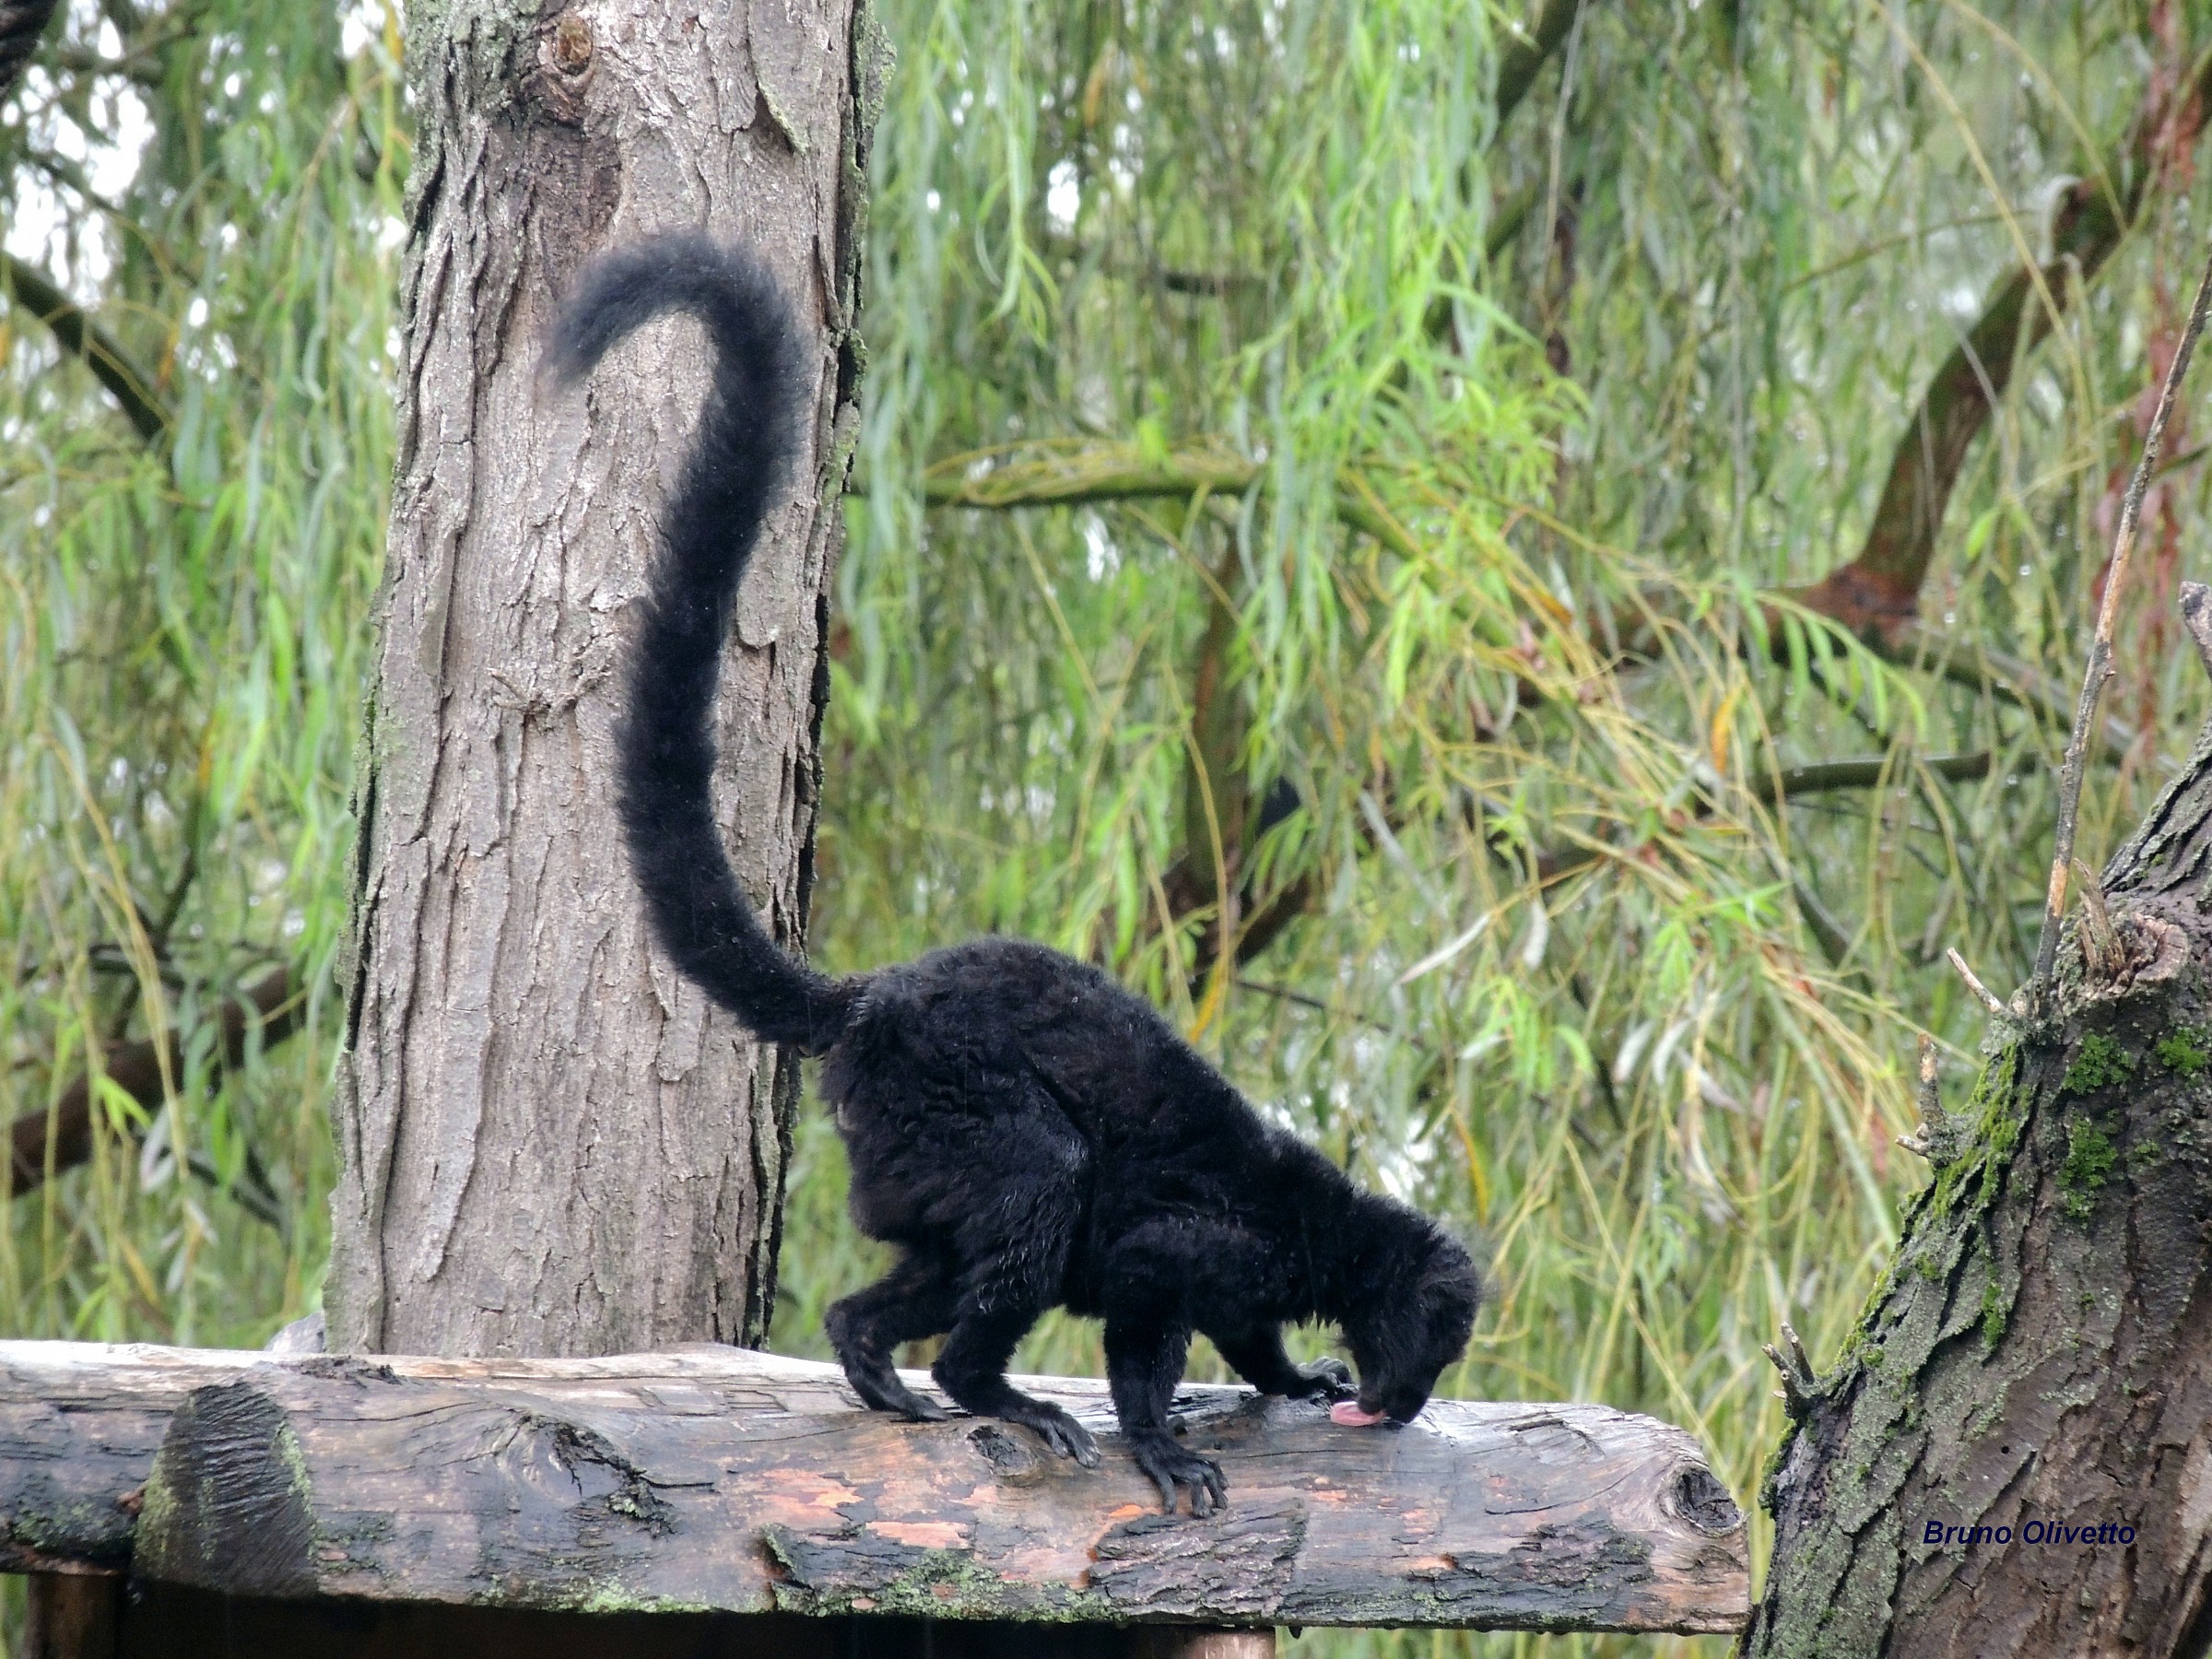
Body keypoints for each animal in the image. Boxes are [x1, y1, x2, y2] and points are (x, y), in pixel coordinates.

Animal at [546, 234, 1482, 1517]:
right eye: (1429, 1344)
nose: (1404, 1404)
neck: (1315, 1225)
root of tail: (875, 999)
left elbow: (1242, 1332)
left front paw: (1290, 1378)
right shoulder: (1219, 1247)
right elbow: (1147, 1282)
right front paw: (1161, 1437)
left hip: (913, 1156)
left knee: (942, 1259)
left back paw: (868, 1349)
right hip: (948, 1102)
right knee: (1046, 1178)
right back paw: (985, 1386)